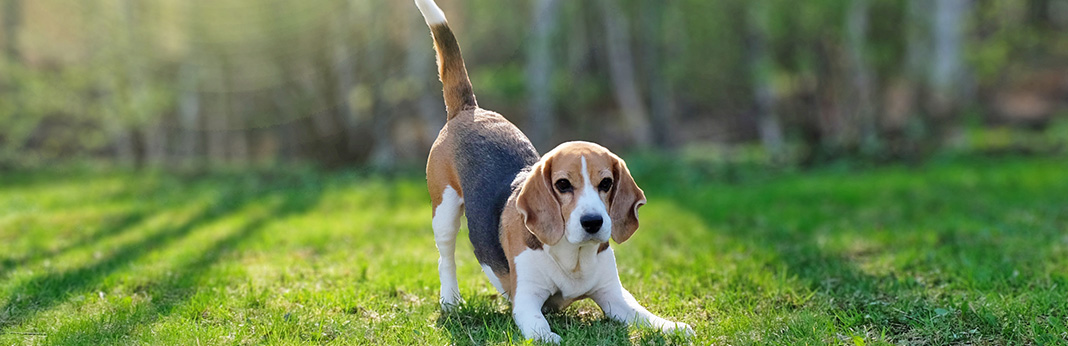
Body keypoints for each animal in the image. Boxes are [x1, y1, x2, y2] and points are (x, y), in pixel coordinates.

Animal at [412, 0, 696, 341]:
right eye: (562, 185)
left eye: (606, 183)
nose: (592, 222)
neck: (573, 257)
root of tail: (470, 109)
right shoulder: (526, 300)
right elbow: (540, 328)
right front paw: (551, 336)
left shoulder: (614, 297)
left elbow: (642, 313)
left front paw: (671, 326)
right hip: (444, 210)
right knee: (446, 258)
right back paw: (451, 301)